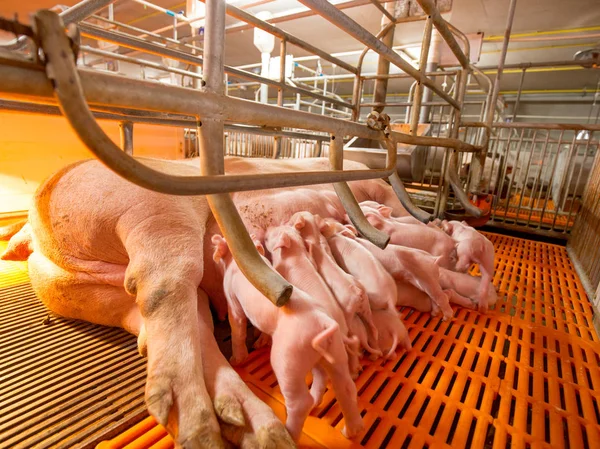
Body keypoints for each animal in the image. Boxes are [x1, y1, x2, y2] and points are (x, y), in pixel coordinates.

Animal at [0, 156, 410, 446]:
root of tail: (37, 229)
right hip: (153, 213)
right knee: (164, 291)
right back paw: (203, 432)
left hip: (100, 295)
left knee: (180, 327)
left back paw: (252, 429)